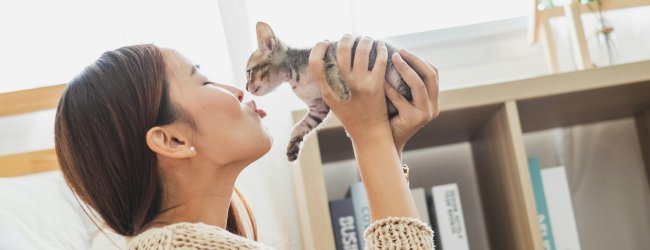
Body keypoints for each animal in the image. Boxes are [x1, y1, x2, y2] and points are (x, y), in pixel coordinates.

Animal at [243, 22, 410, 162]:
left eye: (249, 73)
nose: (246, 88)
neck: (293, 76)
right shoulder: (318, 106)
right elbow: (301, 125)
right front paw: (293, 144)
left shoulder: (329, 50)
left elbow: (328, 69)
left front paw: (339, 91)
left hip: (396, 72)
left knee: (407, 96)